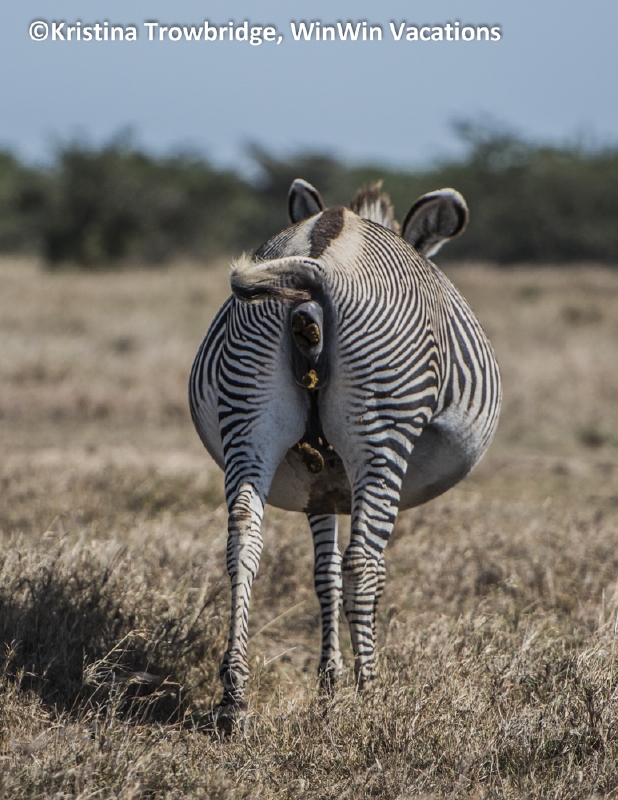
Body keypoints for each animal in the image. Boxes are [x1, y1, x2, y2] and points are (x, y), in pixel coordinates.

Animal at [189, 179, 501, 729]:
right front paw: (343, 684)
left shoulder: (321, 486)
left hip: (246, 412)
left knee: (243, 543)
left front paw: (327, 682)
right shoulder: (342, 480)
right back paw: (372, 692)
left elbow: (323, 575)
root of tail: (319, 259)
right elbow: (350, 570)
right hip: (381, 426)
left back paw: (235, 696)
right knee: (363, 562)